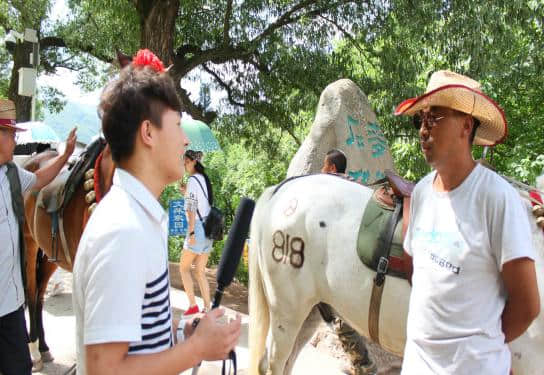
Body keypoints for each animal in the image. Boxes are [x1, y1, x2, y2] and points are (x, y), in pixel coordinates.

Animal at [21, 140, 115, 370]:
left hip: (49, 254)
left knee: (39, 294)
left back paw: (44, 348)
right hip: (29, 242)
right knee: (31, 291)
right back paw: (34, 351)